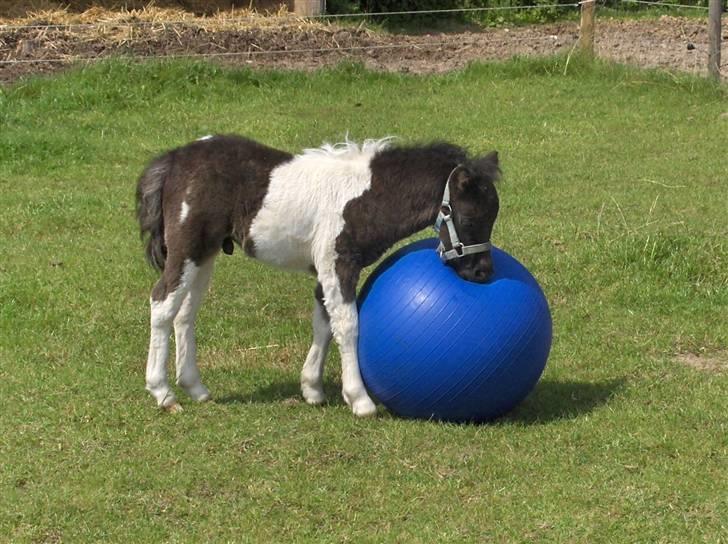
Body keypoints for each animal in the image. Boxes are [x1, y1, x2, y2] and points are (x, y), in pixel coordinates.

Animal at [135, 136, 500, 416]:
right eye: (470, 218)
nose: (482, 272)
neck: (367, 197)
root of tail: (174, 159)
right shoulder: (338, 263)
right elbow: (348, 325)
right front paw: (360, 400)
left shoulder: (327, 271)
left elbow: (324, 323)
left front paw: (312, 389)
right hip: (187, 250)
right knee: (162, 304)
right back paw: (163, 394)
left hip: (204, 255)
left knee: (185, 313)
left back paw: (195, 388)